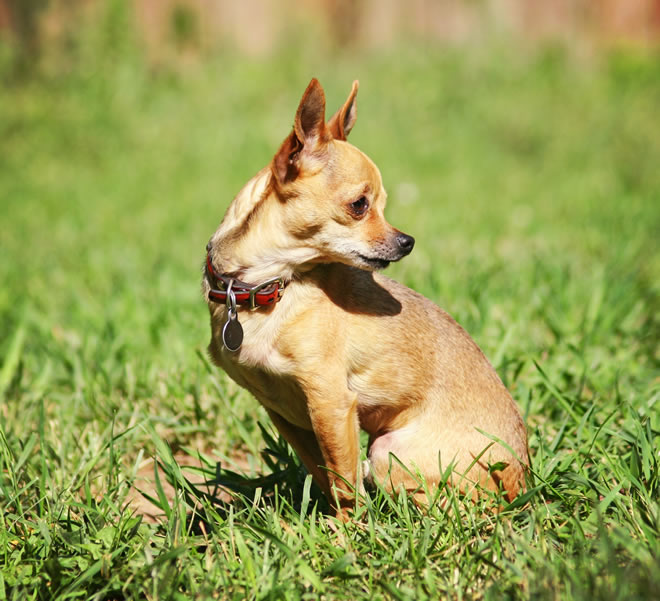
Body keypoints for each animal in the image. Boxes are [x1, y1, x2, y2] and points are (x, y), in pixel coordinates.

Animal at [204, 78, 528, 520]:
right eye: (359, 205)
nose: (407, 241)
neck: (266, 287)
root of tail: (523, 483)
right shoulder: (288, 414)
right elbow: (324, 472)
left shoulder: (331, 402)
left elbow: (342, 479)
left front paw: (346, 528)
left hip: (389, 451)